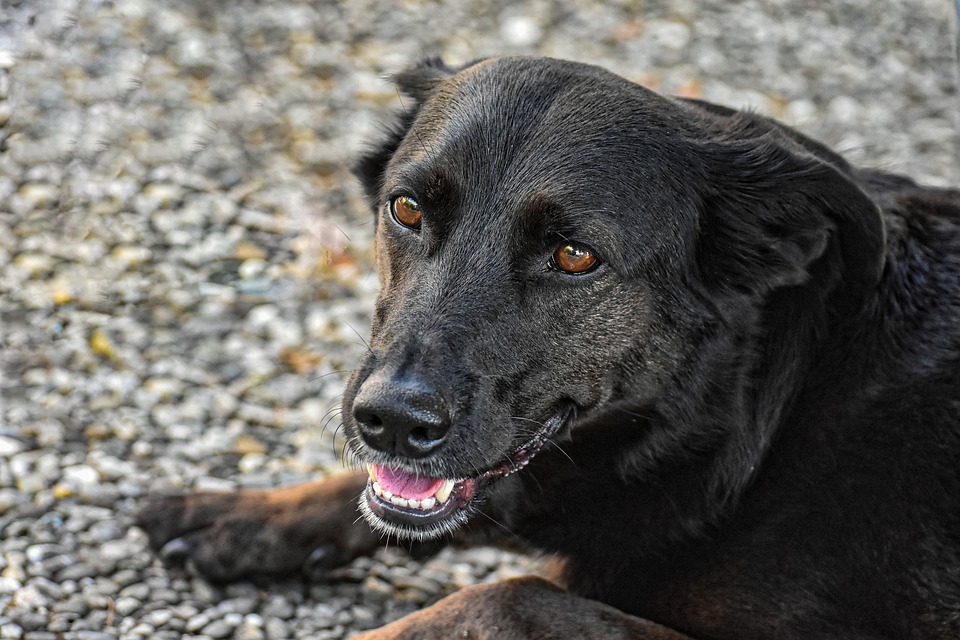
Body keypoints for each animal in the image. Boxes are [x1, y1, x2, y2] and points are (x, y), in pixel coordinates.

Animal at [141, 57, 960, 636]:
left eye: (574, 257)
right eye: (407, 208)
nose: (393, 423)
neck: (751, 422)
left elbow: (505, 599)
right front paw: (250, 514)